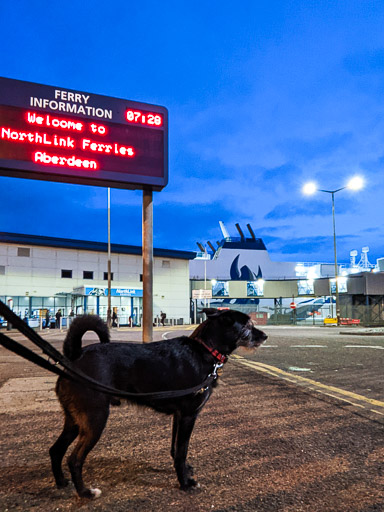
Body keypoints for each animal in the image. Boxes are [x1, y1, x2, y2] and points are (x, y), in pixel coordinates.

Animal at [48, 308, 268, 496]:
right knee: (74, 459)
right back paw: (85, 493)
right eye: (247, 326)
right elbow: (181, 451)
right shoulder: (188, 416)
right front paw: (184, 482)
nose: (265, 336)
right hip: (95, 419)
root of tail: (74, 357)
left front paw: (184, 471)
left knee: (56, 450)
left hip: (75, 420)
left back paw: (61, 482)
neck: (204, 349)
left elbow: (175, 449)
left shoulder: (179, 416)